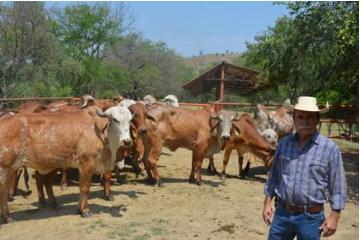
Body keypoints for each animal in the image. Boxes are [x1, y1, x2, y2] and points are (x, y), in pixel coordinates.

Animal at [0, 105, 132, 223]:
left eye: (130, 120)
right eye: (115, 119)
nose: (127, 141)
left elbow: (82, 188)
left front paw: (79, 209)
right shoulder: (86, 165)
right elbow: (85, 188)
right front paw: (85, 211)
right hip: (5, 168)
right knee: (4, 190)